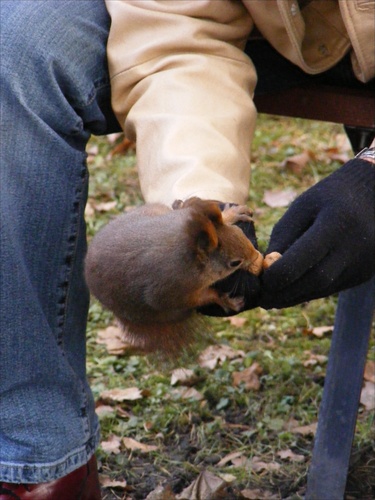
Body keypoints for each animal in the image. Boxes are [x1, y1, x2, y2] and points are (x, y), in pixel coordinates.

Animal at [86, 196, 264, 356]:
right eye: (234, 263)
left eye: (239, 231)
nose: (257, 257)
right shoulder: (172, 290)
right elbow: (202, 297)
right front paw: (223, 298)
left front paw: (231, 214)